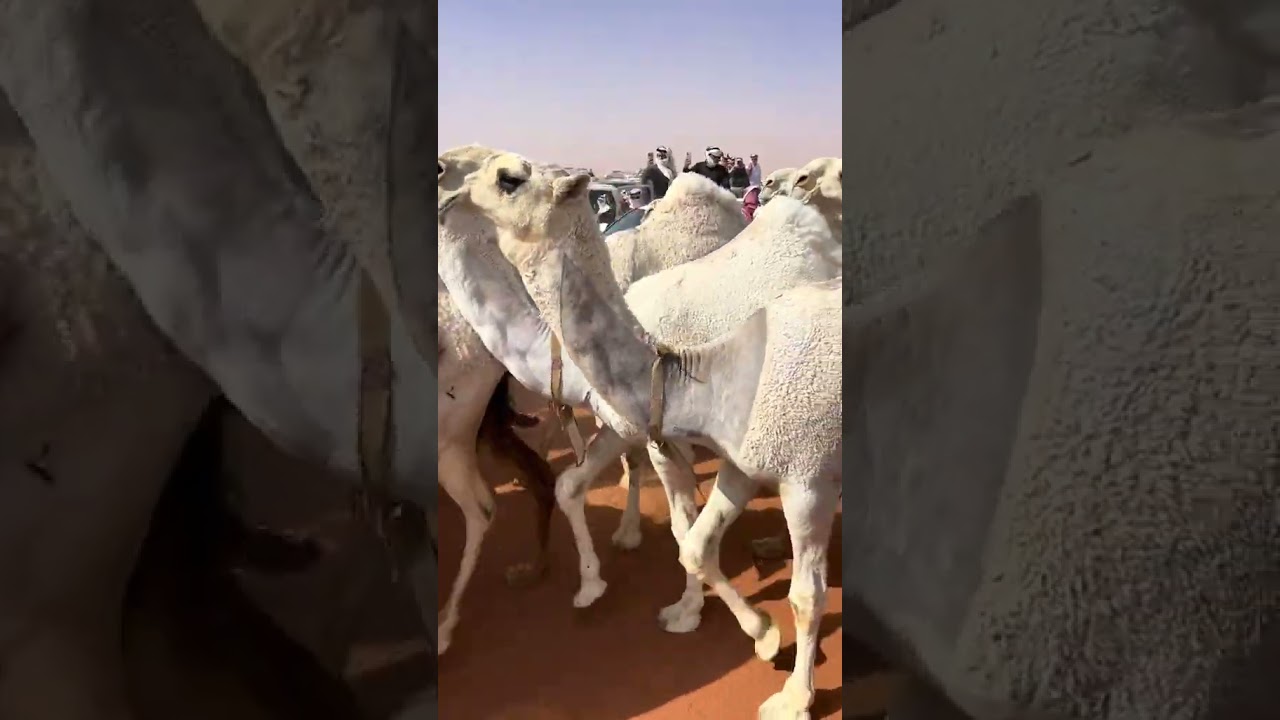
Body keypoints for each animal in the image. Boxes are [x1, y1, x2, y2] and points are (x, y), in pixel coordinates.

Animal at [438, 155, 843, 720]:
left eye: (509, 177)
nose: (448, 182)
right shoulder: (652, 433)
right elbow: (655, 519)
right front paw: (610, 579)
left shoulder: (793, 473)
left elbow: (702, 538)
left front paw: (786, 691)